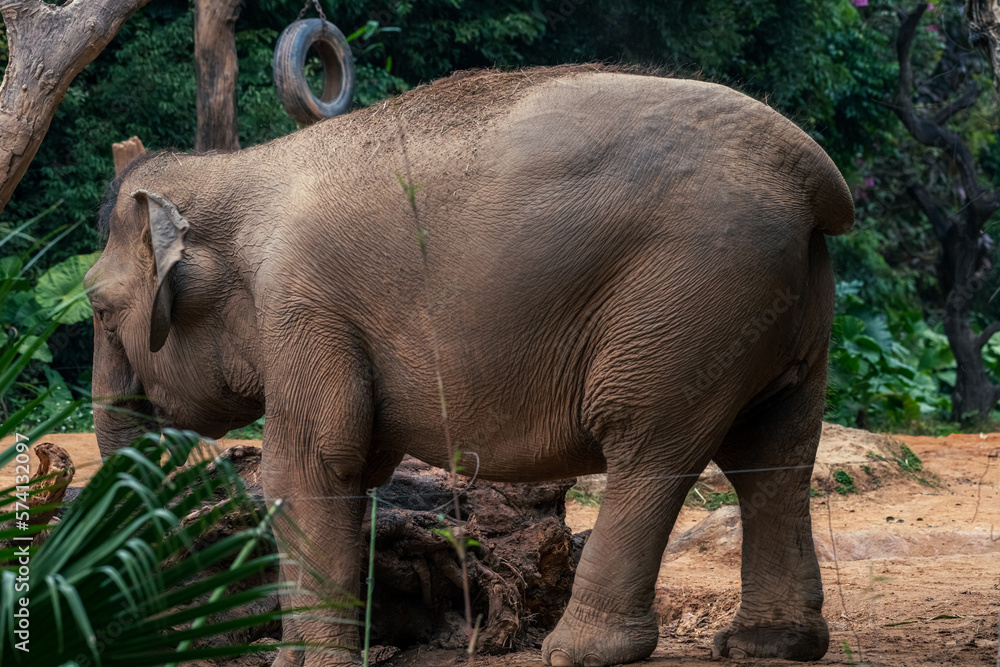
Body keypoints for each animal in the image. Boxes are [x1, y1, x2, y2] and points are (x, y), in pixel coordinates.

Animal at [85, 64, 854, 666]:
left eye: (95, 306)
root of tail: (811, 174)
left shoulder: (301, 307)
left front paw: (305, 661)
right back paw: (768, 644)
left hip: (687, 302)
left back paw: (580, 650)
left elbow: (310, 467)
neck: (239, 171)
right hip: (790, 301)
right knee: (773, 454)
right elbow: (353, 471)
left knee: (648, 445)